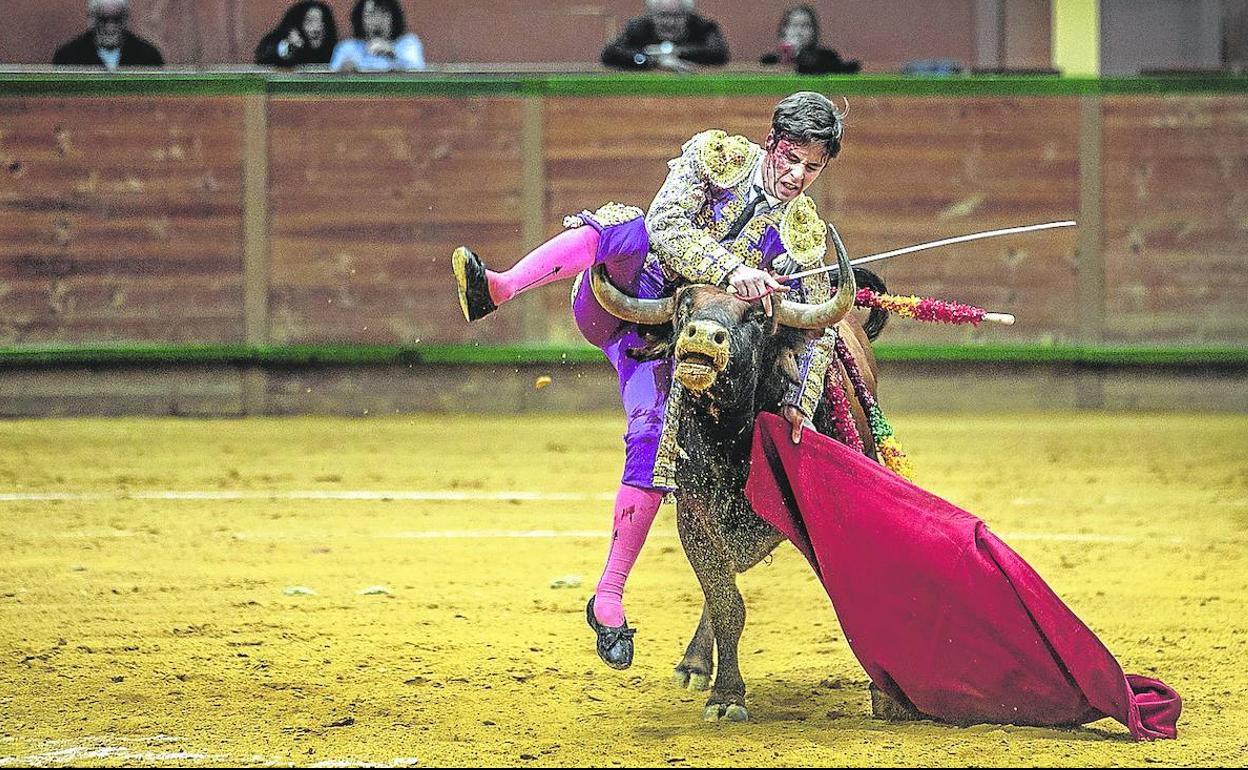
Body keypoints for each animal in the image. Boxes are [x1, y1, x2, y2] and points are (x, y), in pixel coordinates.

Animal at [589, 227, 903, 718]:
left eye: (756, 315)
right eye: (685, 306)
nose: (703, 336)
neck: (731, 440)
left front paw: (887, 696)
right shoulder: (696, 521)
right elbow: (726, 605)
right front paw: (726, 695)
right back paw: (694, 665)